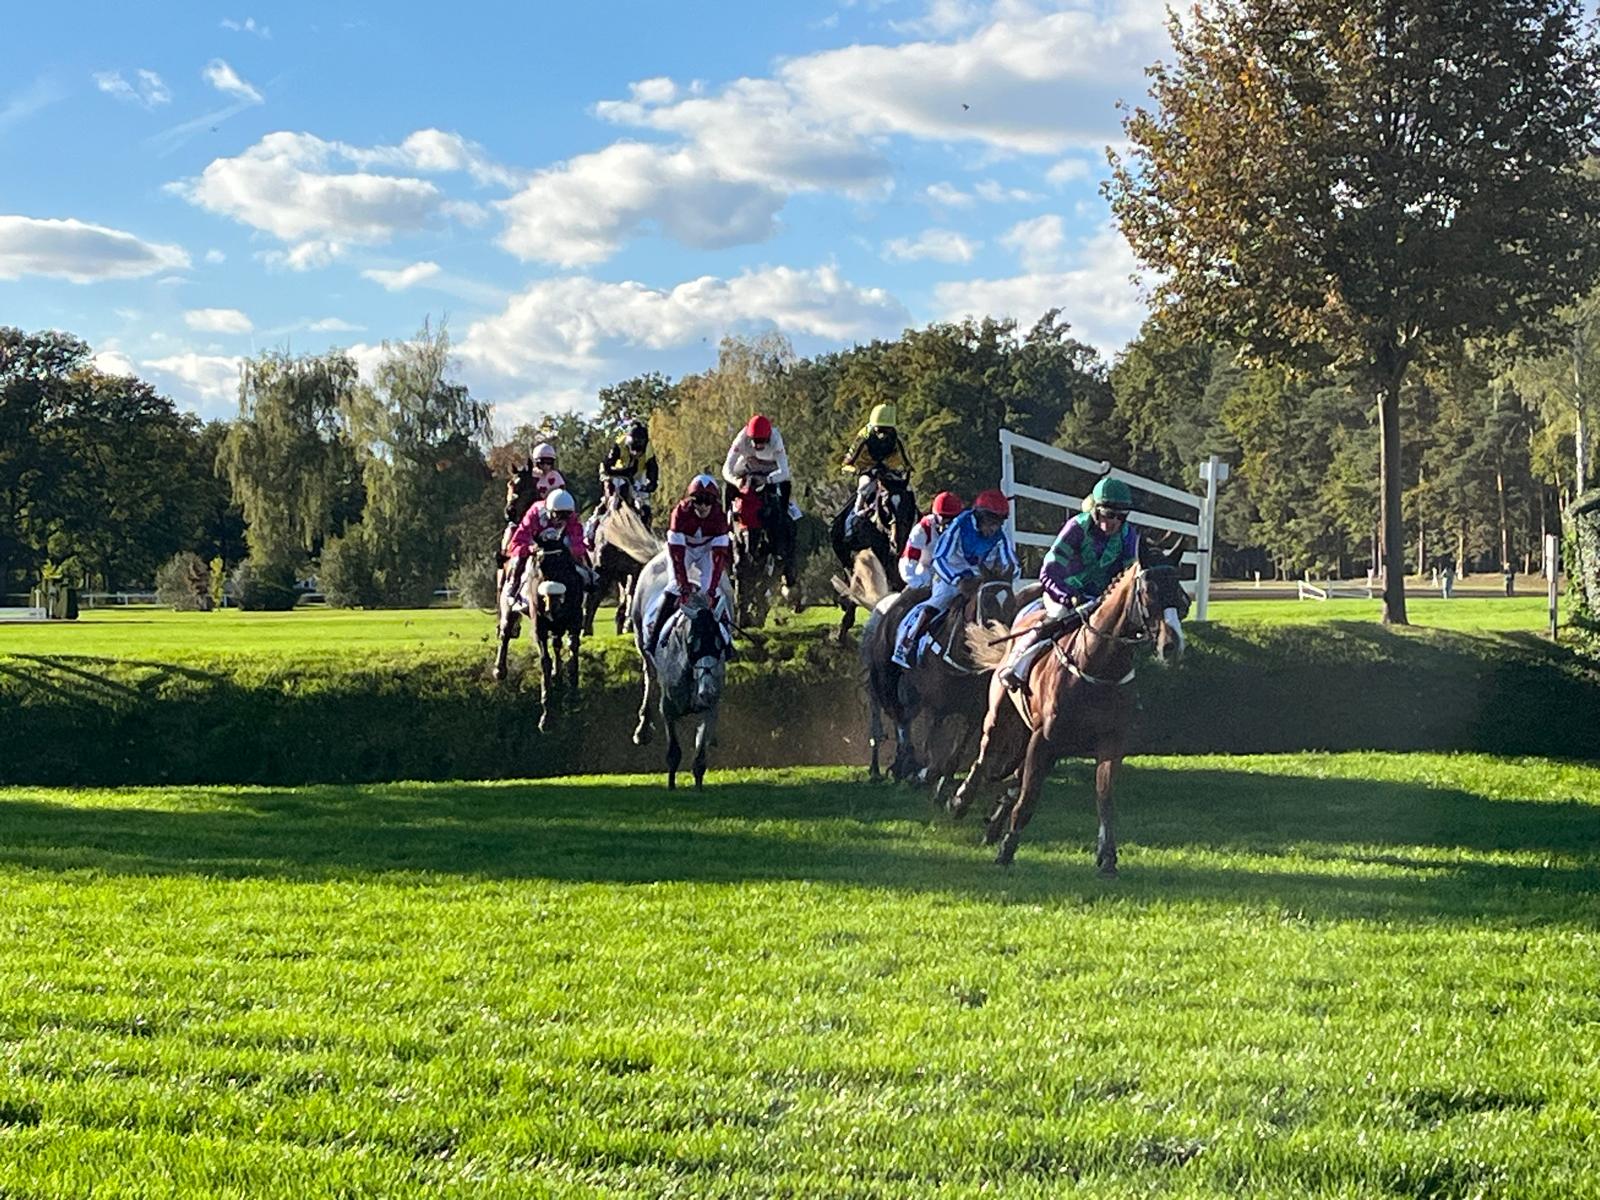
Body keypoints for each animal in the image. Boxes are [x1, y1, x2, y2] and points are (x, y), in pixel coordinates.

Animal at [838, 553, 1036, 800]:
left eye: (1011, 604)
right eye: (987, 602)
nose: (1003, 641)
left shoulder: (974, 711)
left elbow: (956, 750)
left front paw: (944, 784)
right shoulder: (936, 706)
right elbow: (931, 744)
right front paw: (923, 772)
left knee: (903, 719)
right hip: (882, 679)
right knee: (888, 715)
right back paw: (885, 767)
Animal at [947, 544, 1190, 876]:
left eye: (1180, 594)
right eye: (1149, 590)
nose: (1172, 645)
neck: (1099, 665)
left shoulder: (1111, 742)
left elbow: (1104, 798)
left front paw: (1107, 857)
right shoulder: (1044, 739)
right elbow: (1028, 796)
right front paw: (1007, 850)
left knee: (1014, 781)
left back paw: (993, 825)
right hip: (1002, 715)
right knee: (985, 757)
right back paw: (960, 801)